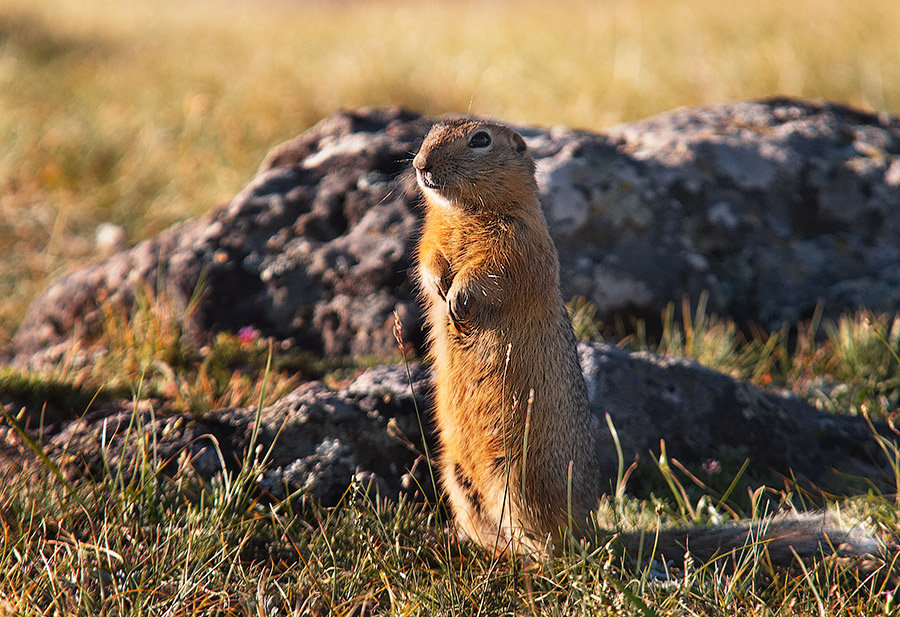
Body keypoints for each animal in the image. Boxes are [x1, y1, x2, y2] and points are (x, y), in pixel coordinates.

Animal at [414, 118, 880, 560]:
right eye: (432, 131)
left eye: (480, 139)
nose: (419, 165)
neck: (463, 214)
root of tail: (596, 531)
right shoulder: (433, 235)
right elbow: (428, 258)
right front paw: (441, 289)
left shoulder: (519, 240)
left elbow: (492, 271)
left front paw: (458, 299)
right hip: (455, 475)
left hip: (519, 479)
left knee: (549, 542)